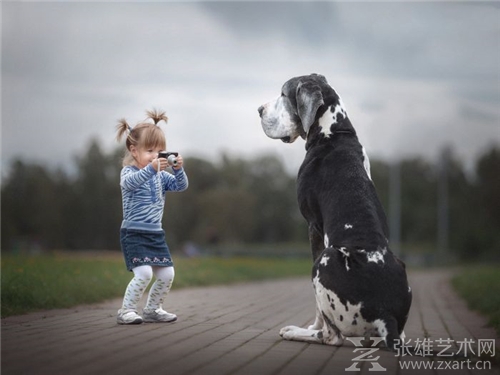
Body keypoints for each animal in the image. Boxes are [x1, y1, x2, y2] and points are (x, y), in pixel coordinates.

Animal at [258, 75, 410, 352]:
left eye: (284, 94)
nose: (259, 110)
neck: (333, 134)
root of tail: (385, 315)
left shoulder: (314, 227)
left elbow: (319, 309)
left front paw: (311, 326)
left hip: (324, 260)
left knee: (332, 336)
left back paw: (296, 331)